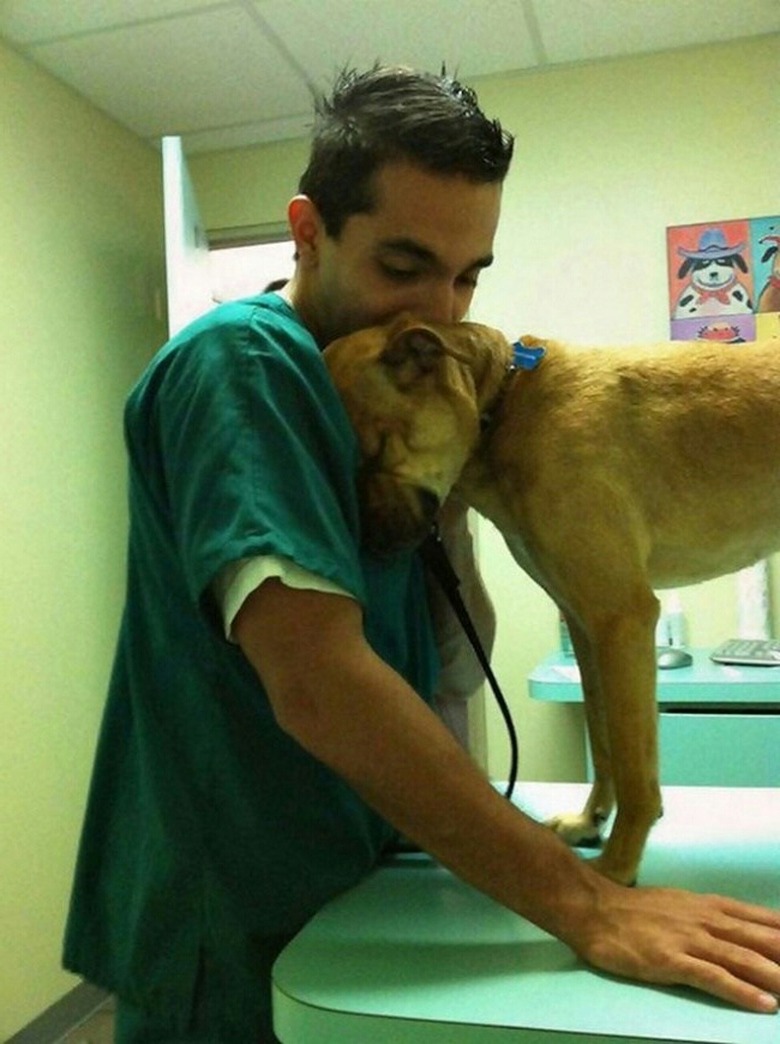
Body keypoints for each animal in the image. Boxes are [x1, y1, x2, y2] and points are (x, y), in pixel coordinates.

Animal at [323, 313, 780, 885]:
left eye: (375, 450)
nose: (366, 550)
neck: (506, 405)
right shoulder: (586, 626)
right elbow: (602, 739)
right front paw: (592, 821)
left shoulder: (621, 618)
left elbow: (634, 767)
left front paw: (617, 867)